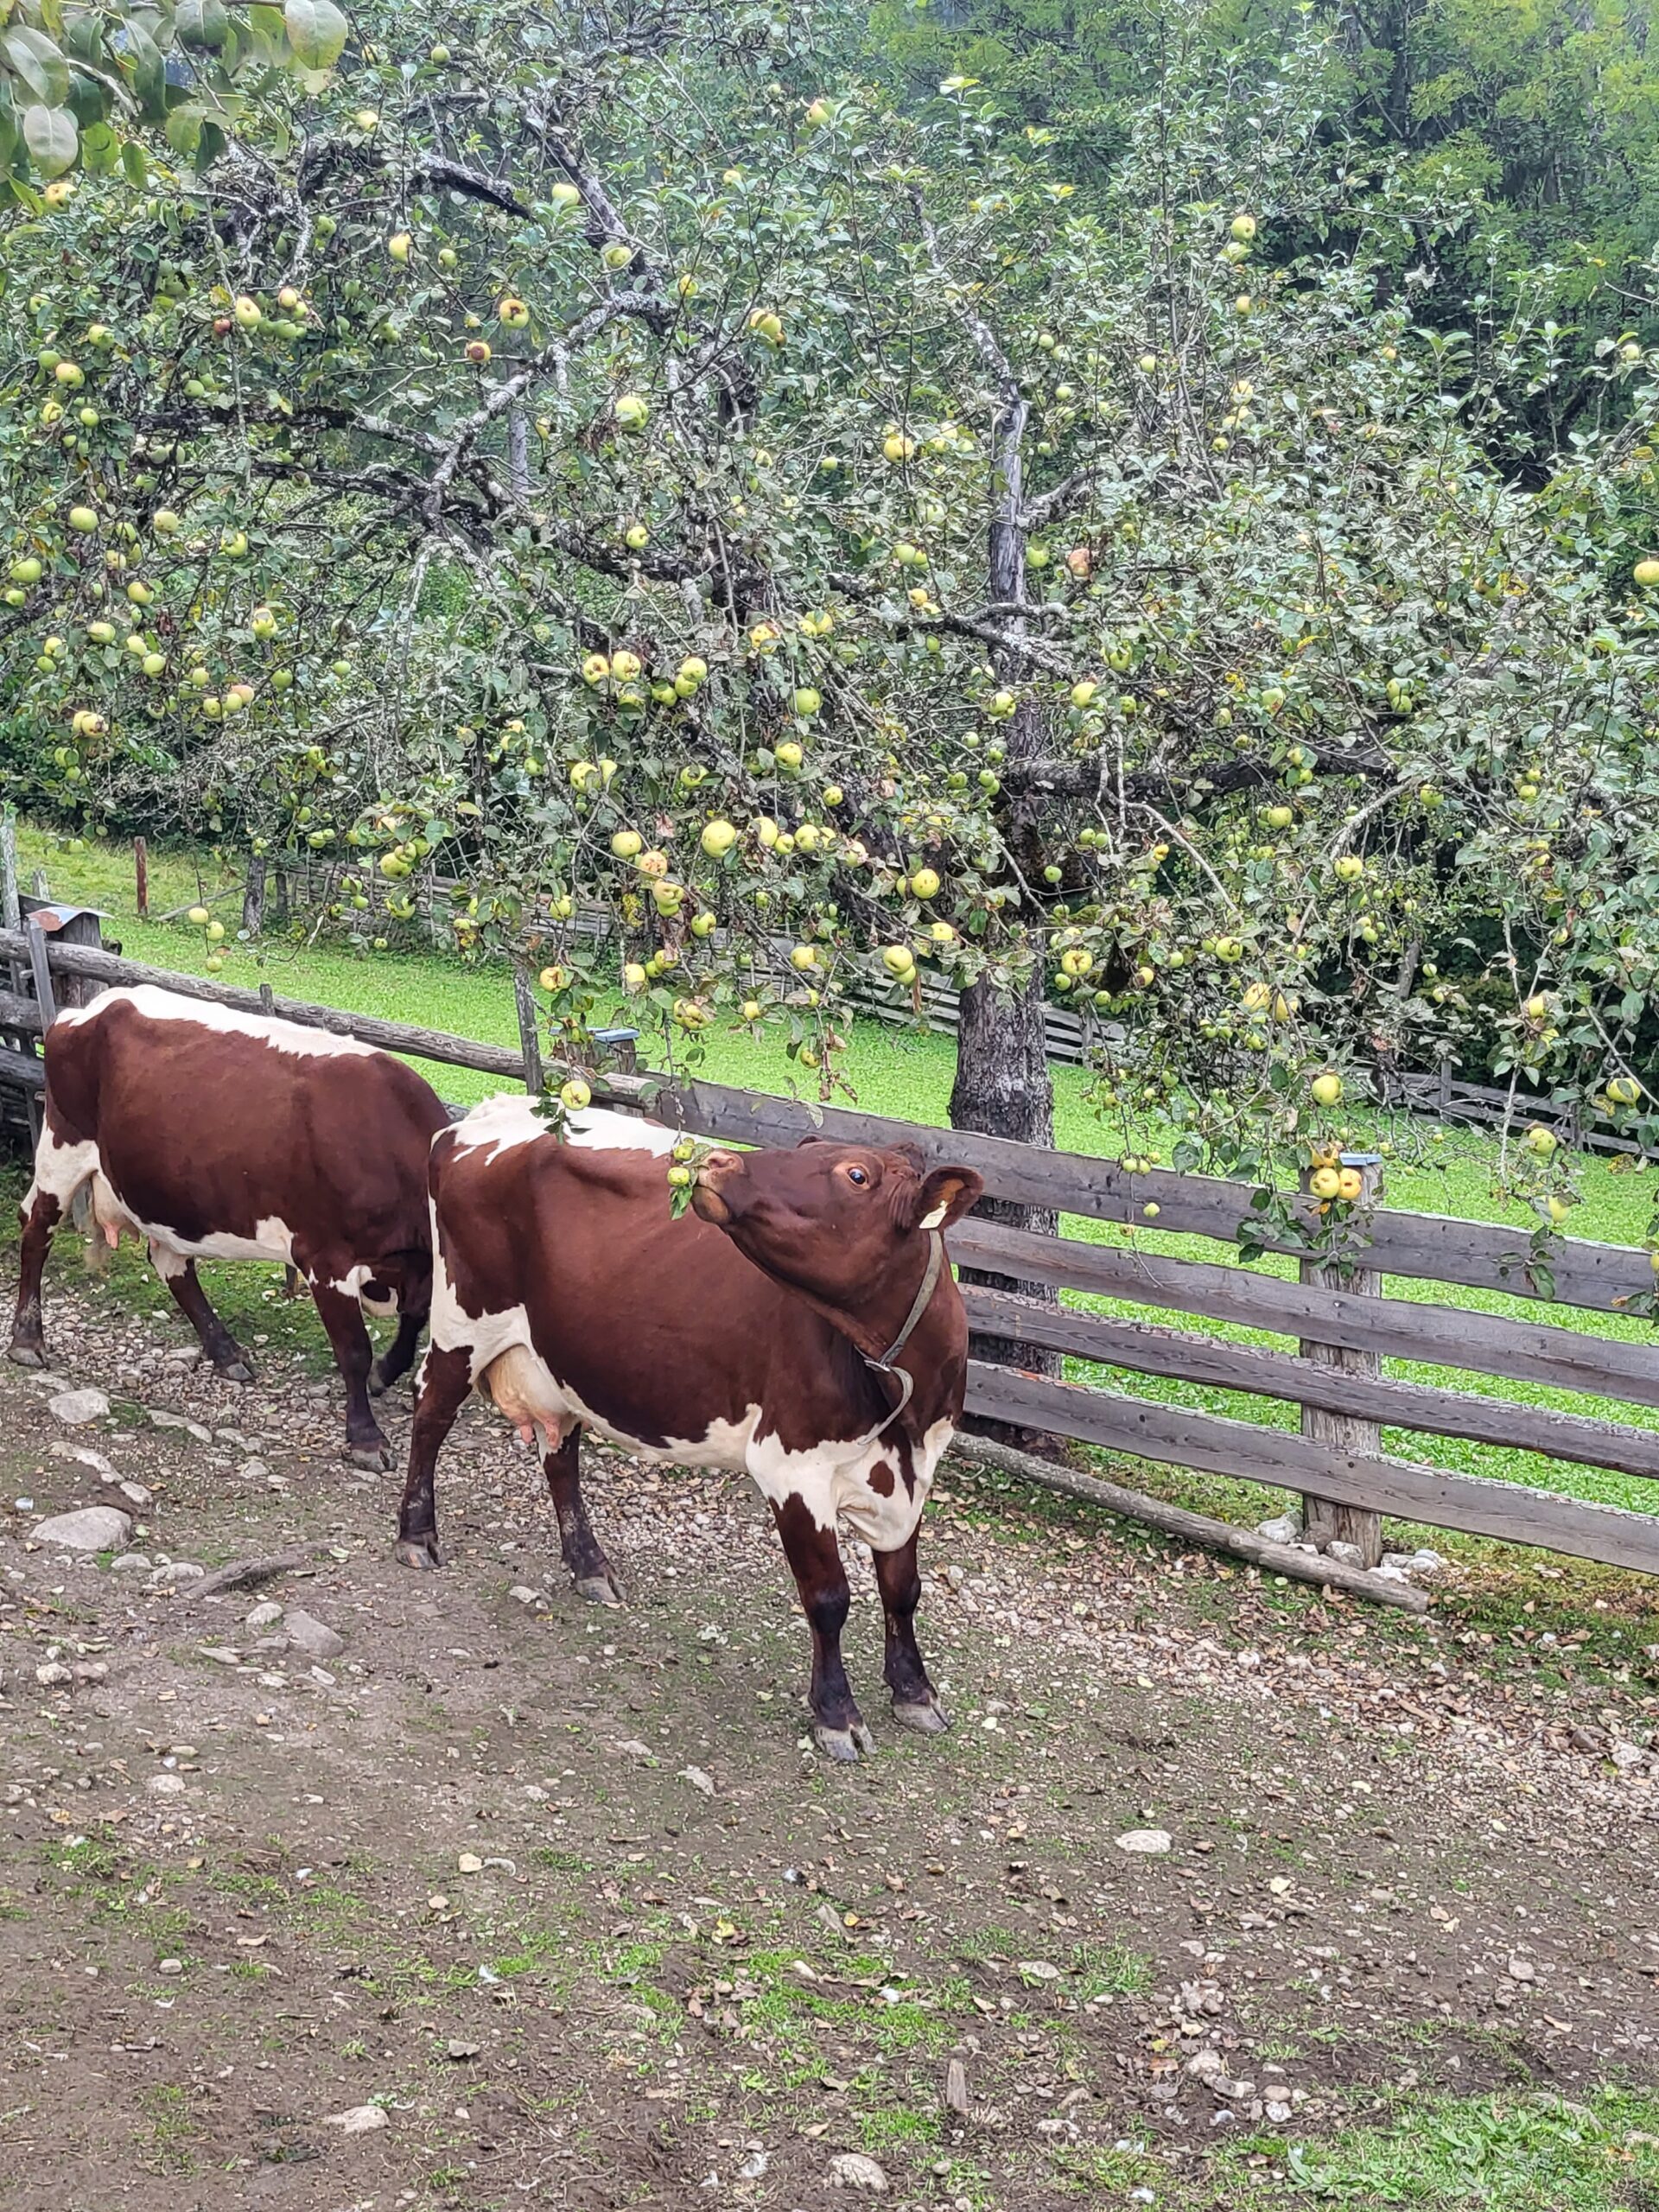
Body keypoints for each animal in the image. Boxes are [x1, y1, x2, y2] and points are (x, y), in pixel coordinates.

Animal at [10, 990, 451, 1468]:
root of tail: (94, 1006)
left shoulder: (417, 1262)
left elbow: (415, 1317)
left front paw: (385, 1373)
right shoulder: (326, 1258)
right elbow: (353, 1349)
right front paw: (366, 1438)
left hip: (167, 1194)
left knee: (170, 1264)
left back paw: (226, 1352)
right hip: (62, 1147)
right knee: (36, 1231)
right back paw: (28, 1341)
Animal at [396, 1101, 982, 1760]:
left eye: (857, 1175)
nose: (721, 1160)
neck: (902, 1406)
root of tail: (492, 1112)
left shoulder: (916, 1471)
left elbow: (903, 1588)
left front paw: (915, 1691)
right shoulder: (791, 1467)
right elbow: (828, 1598)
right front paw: (836, 1713)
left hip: (561, 1356)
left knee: (560, 1449)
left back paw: (589, 1565)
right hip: (464, 1321)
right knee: (431, 1412)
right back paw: (417, 1535)